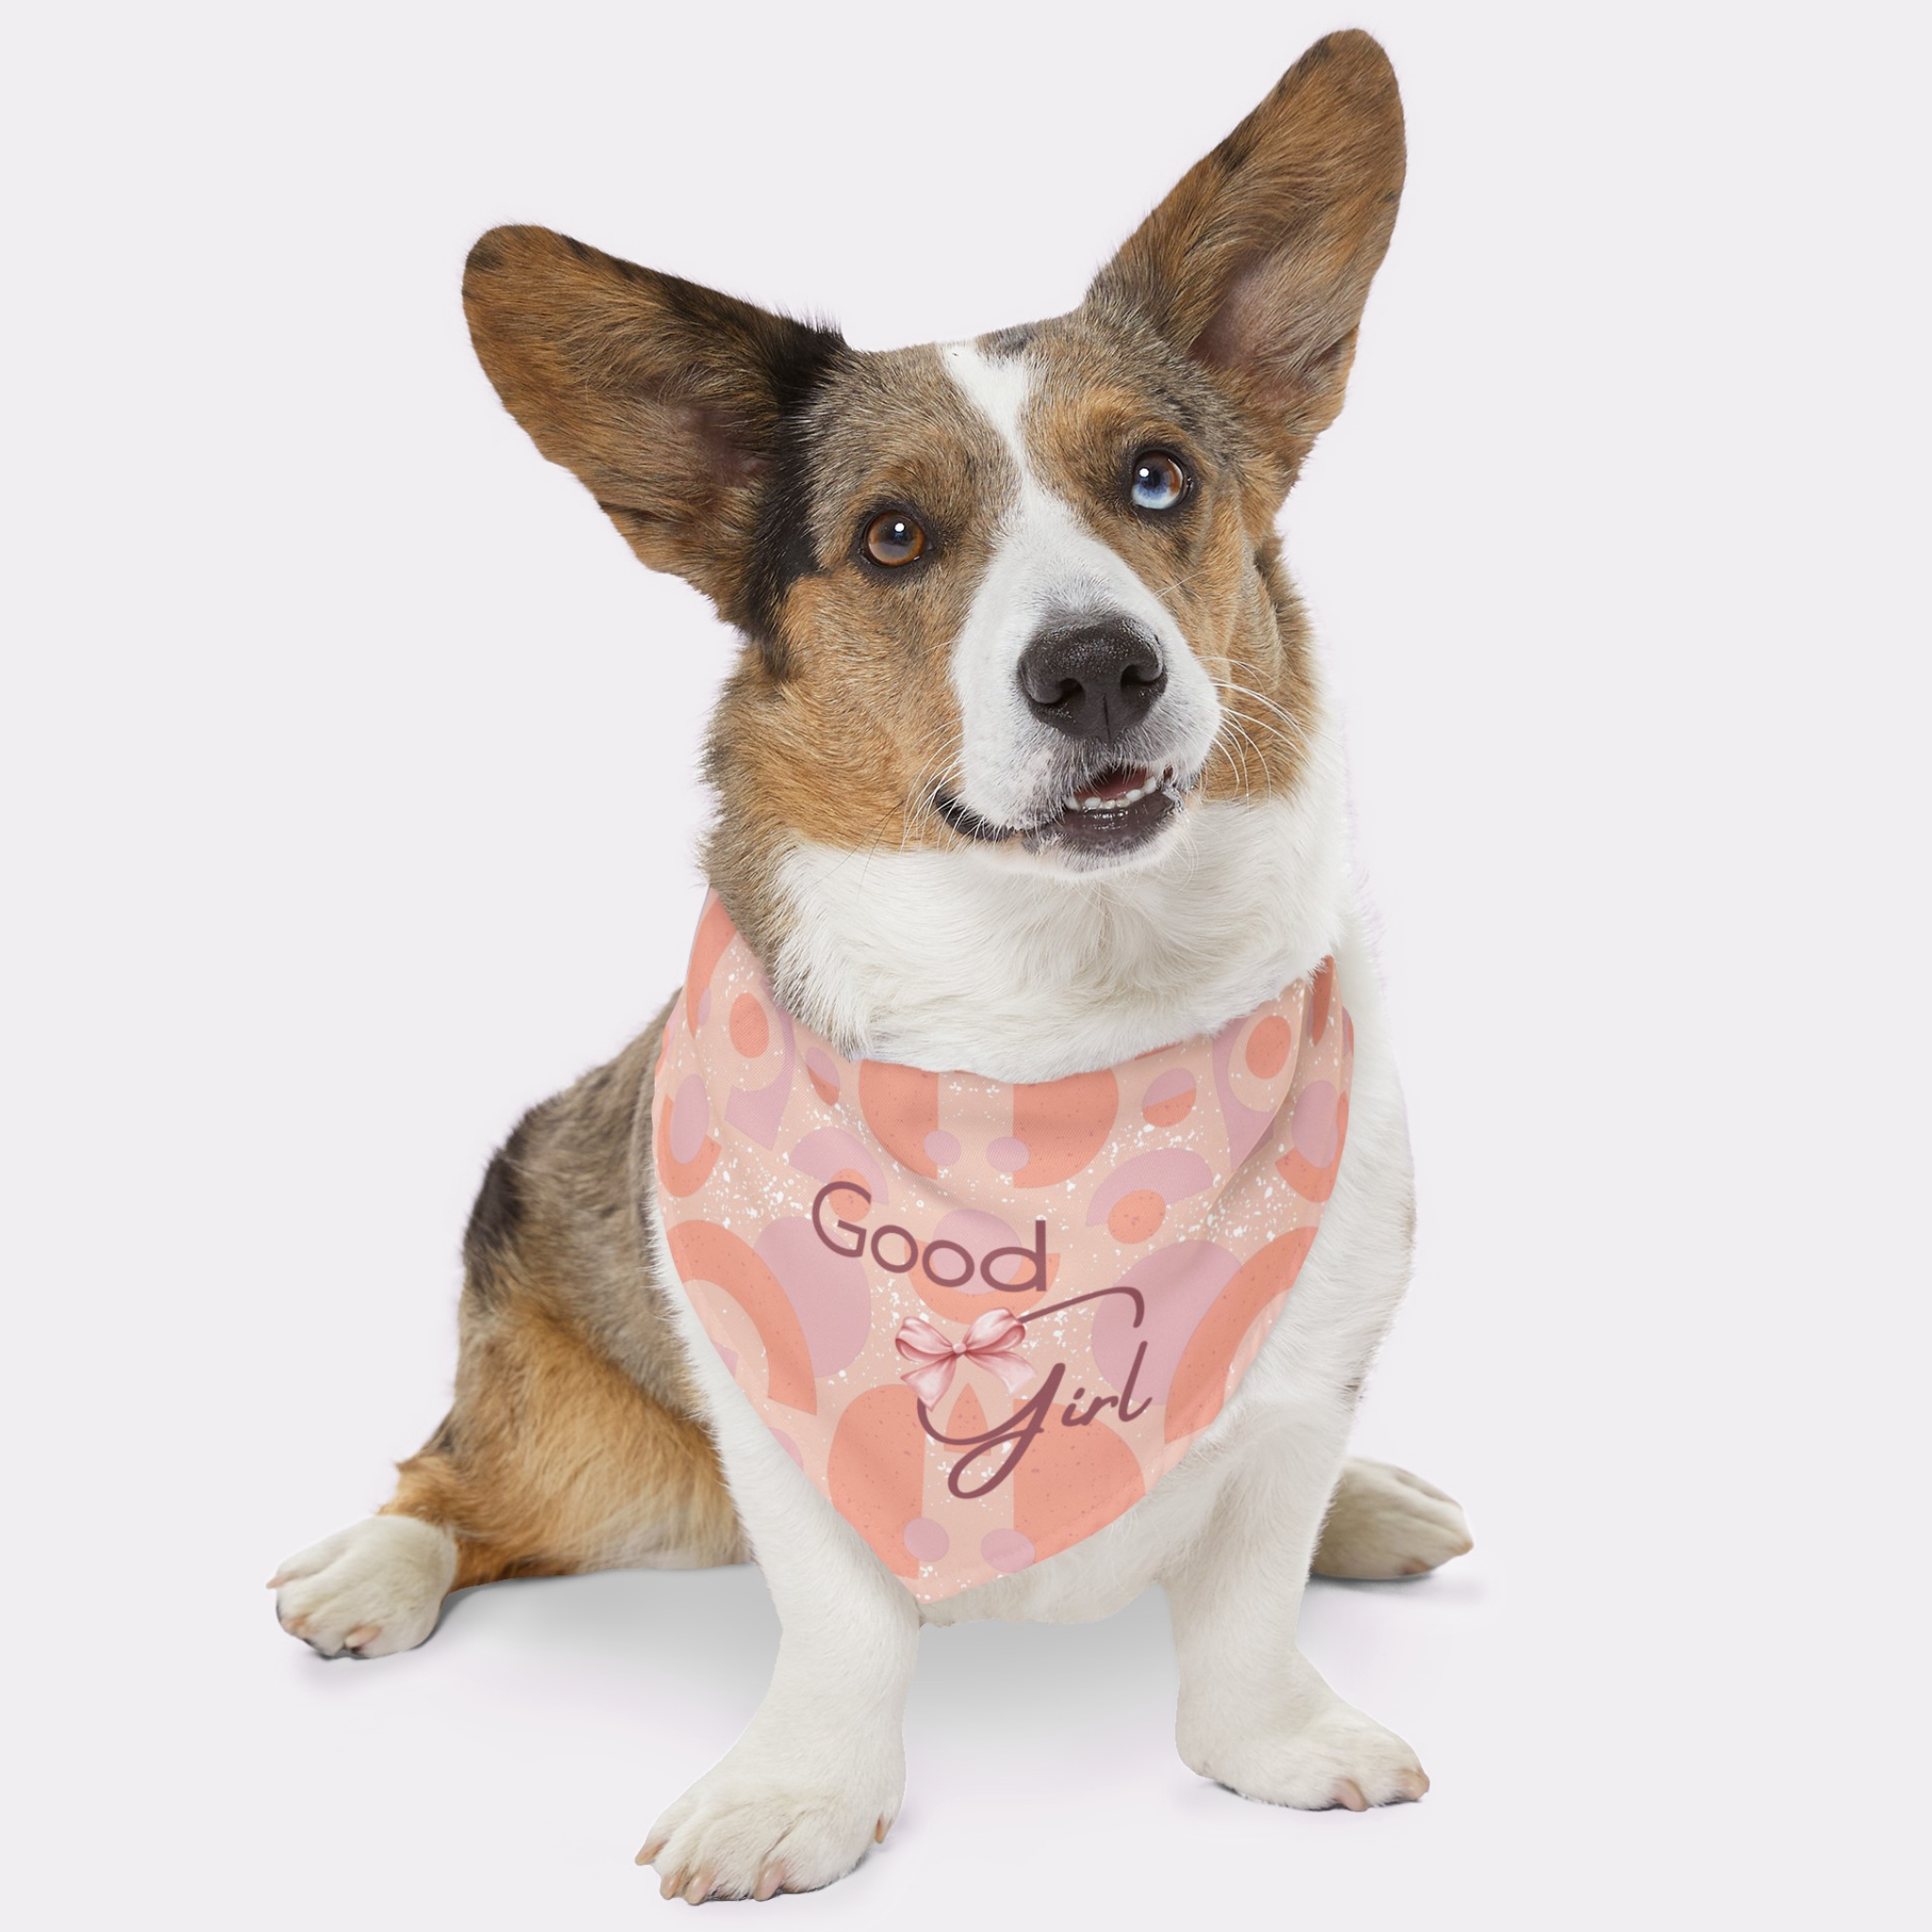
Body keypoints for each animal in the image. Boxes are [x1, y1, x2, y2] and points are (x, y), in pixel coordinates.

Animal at [272, 30, 1468, 1901]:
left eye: (1157, 478)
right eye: (894, 536)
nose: (1099, 670)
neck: (1057, 1035)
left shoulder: (1299, 1383)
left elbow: (1251, 1592)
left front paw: (1273, 1738)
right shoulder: (777, 1429)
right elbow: (836, 1627)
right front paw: (798, 1797)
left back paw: (1374, 1508)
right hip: (594, 1455)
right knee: (454, 1484)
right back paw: (370, 1570)